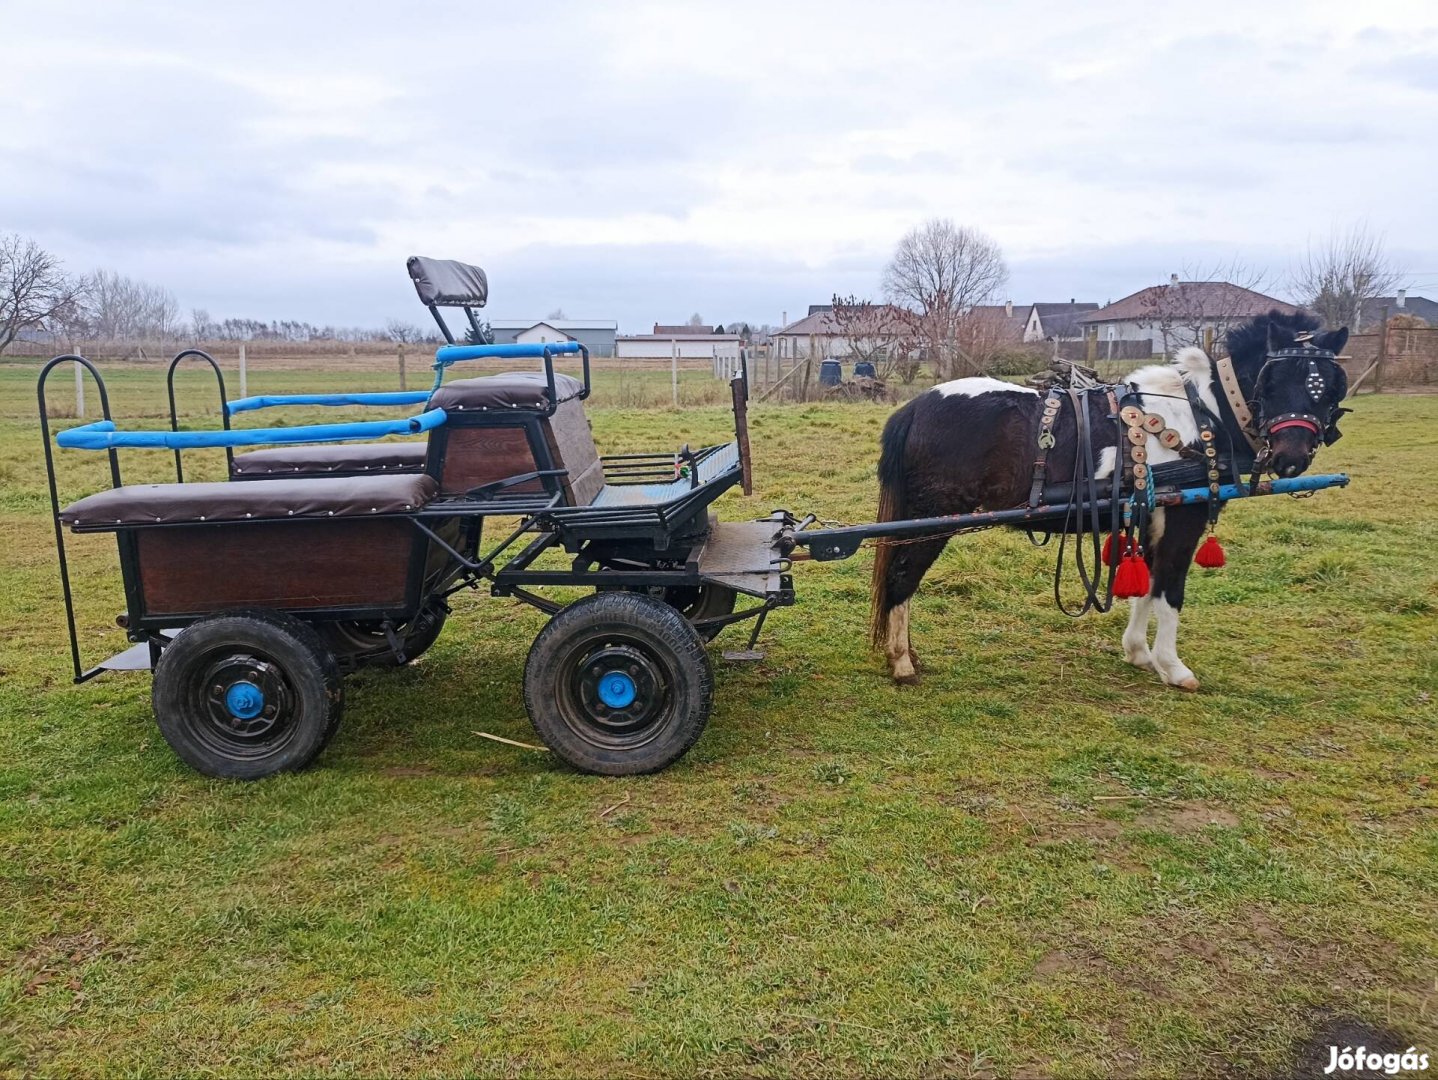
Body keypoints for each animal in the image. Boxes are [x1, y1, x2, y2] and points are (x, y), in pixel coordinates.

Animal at [868, 307, 1351, 687]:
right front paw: (1173, 667)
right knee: (902, 579)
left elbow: (1148, 586)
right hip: (932, 520)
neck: (1202, 417)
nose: (1291, 457)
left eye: (1330, 387)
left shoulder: (1154, 513)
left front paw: (1138, 652)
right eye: (1271, 381)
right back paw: (902, 662)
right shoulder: (1184, 519)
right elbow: (1170, 589)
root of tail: (915, 408)